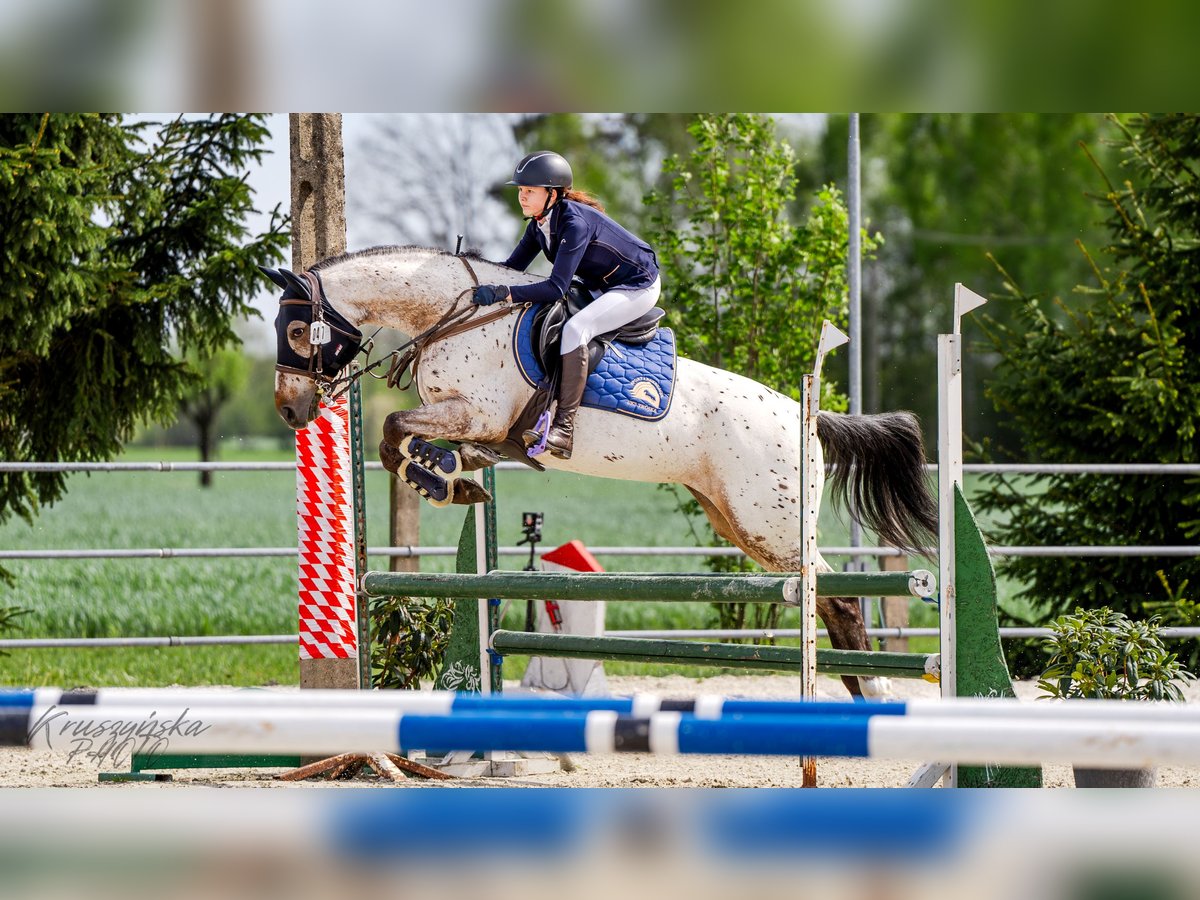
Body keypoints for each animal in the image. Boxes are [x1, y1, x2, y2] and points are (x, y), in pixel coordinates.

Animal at [260, 247, 936, 705]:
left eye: (296, 329)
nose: (290, 410)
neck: (457, 317)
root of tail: (810, 417)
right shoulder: (477, 423)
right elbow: (403, 440)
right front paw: (455, 476)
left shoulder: (476, 412)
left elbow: (394, 427)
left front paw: (442, 476)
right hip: (738, 522)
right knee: (825, 593)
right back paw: (862, 689)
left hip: (771, 524)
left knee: (837, 595)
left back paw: (873, 690)